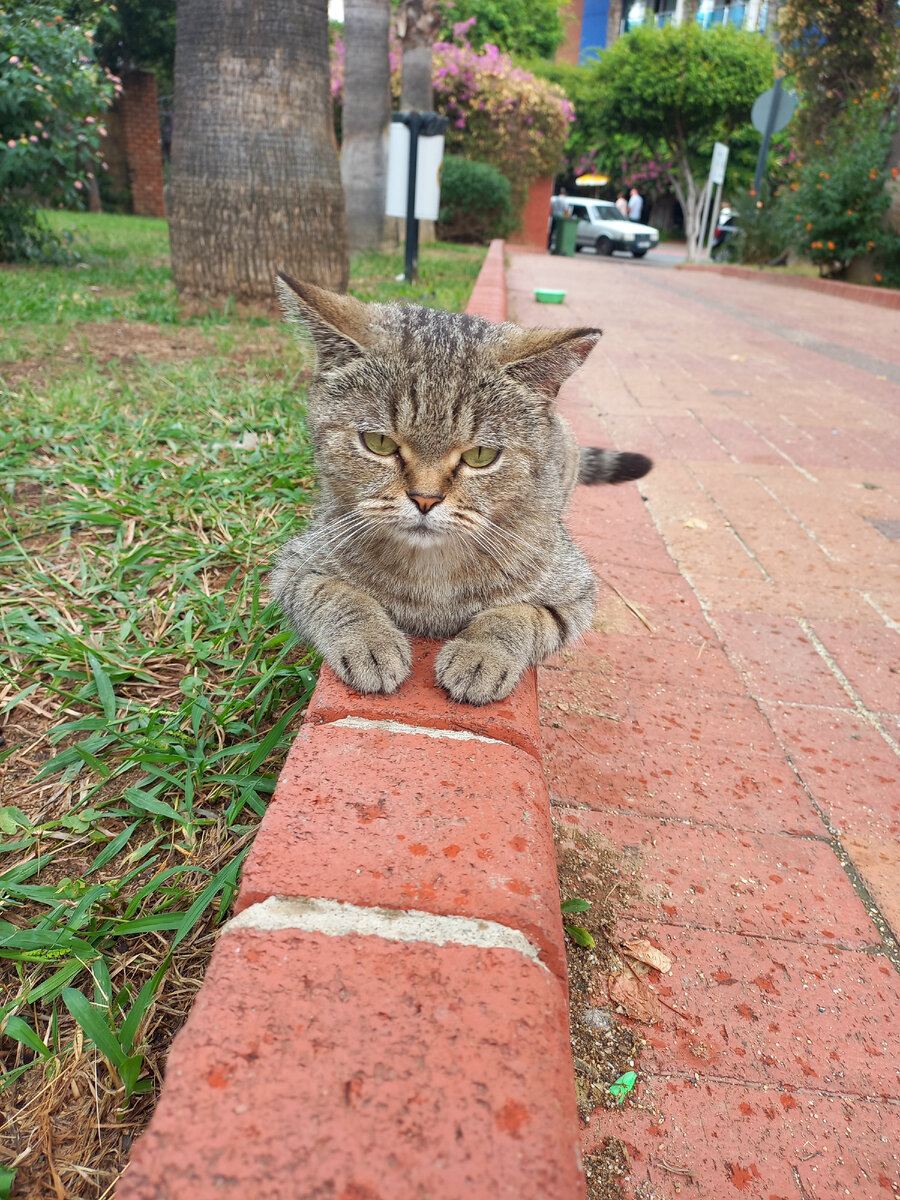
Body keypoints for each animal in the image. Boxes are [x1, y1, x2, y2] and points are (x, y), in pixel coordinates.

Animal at [271, 272, 652, 700]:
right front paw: (370, 641)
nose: (425, 499)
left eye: (481, 455)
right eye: (379, 443)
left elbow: (519, 616)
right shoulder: (293, 569)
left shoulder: (576, 594)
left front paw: (482, 654)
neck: (431, 573)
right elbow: (334, 594)